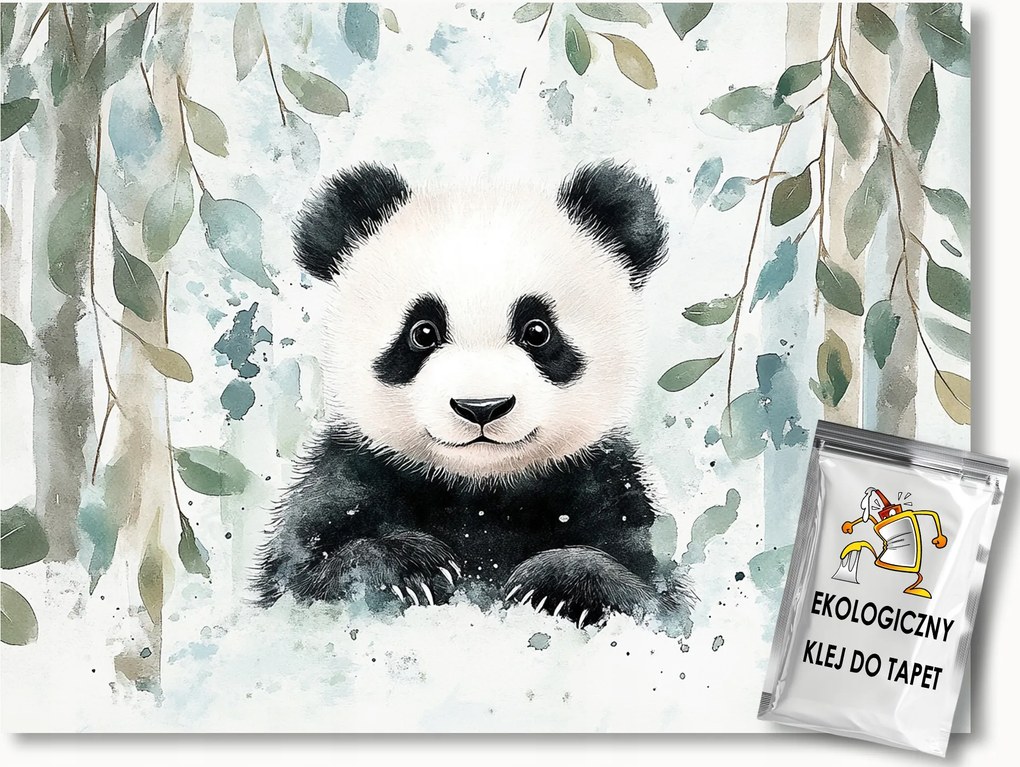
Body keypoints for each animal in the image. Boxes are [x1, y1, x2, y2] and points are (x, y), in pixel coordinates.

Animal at [254, 161, 688, 627]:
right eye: (422, 332)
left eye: (538, 331)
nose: (482, 407)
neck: (481, 488)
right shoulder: (348, 474)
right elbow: (300, 577)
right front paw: (414, 570)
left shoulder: (609, 487)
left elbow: (653, 597)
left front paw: (555, 584)